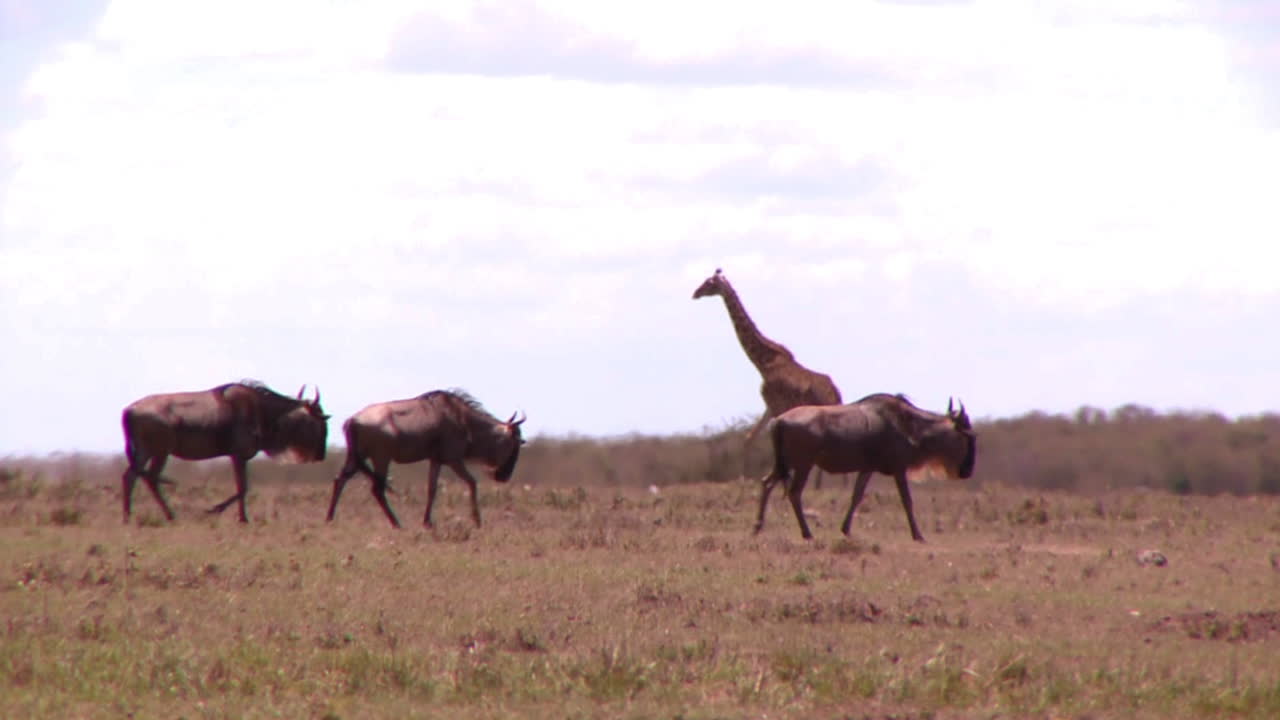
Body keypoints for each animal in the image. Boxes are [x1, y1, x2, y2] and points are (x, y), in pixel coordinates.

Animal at [692, 268, 844, 480]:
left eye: (709, 283)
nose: (695, 293)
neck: (764, 362)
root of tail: (836, 396)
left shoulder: (774, 404)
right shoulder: (769, 406)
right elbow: (749, 437)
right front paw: (743, 478)